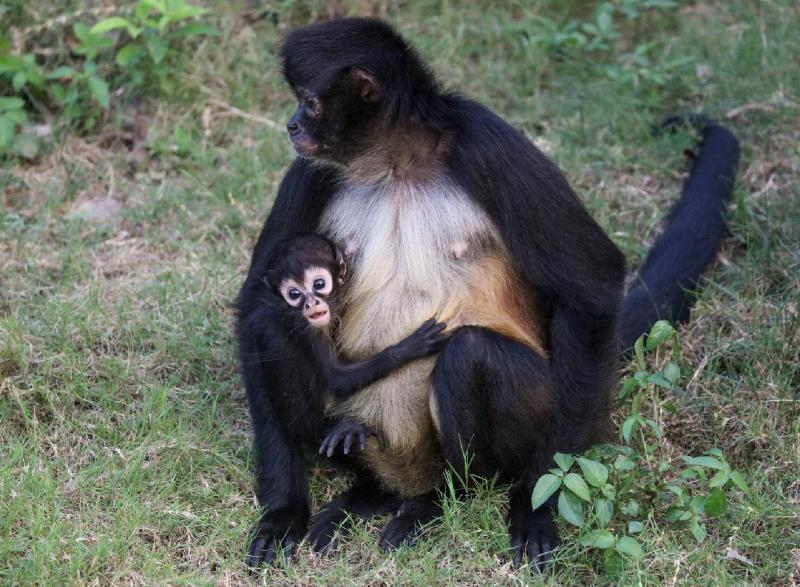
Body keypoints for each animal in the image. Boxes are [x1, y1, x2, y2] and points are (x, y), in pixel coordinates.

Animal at [266, 234, 446, 460]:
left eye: (319, 283)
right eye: (294, 294)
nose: (311, 304)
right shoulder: (305, 329)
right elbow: (337, 379)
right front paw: (412, 346)